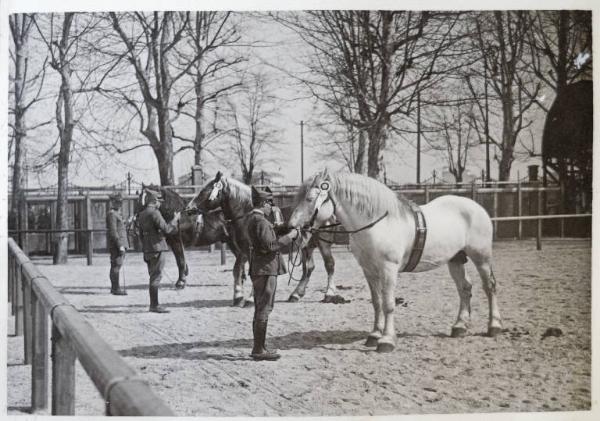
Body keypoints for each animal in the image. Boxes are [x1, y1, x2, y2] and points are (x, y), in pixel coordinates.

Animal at [288, 170, 504, 352]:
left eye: (309, 199)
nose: (291, 227)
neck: (378, 223)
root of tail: (476, 207)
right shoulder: (369, 270)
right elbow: (376, 302)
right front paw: (374, 335)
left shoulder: (388, 269)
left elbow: (388, 304)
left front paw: (386, 340)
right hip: (456, 260)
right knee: (464, 289)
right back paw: (460, 327)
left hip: (481, 257)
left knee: (490, 287)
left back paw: (494, 326)